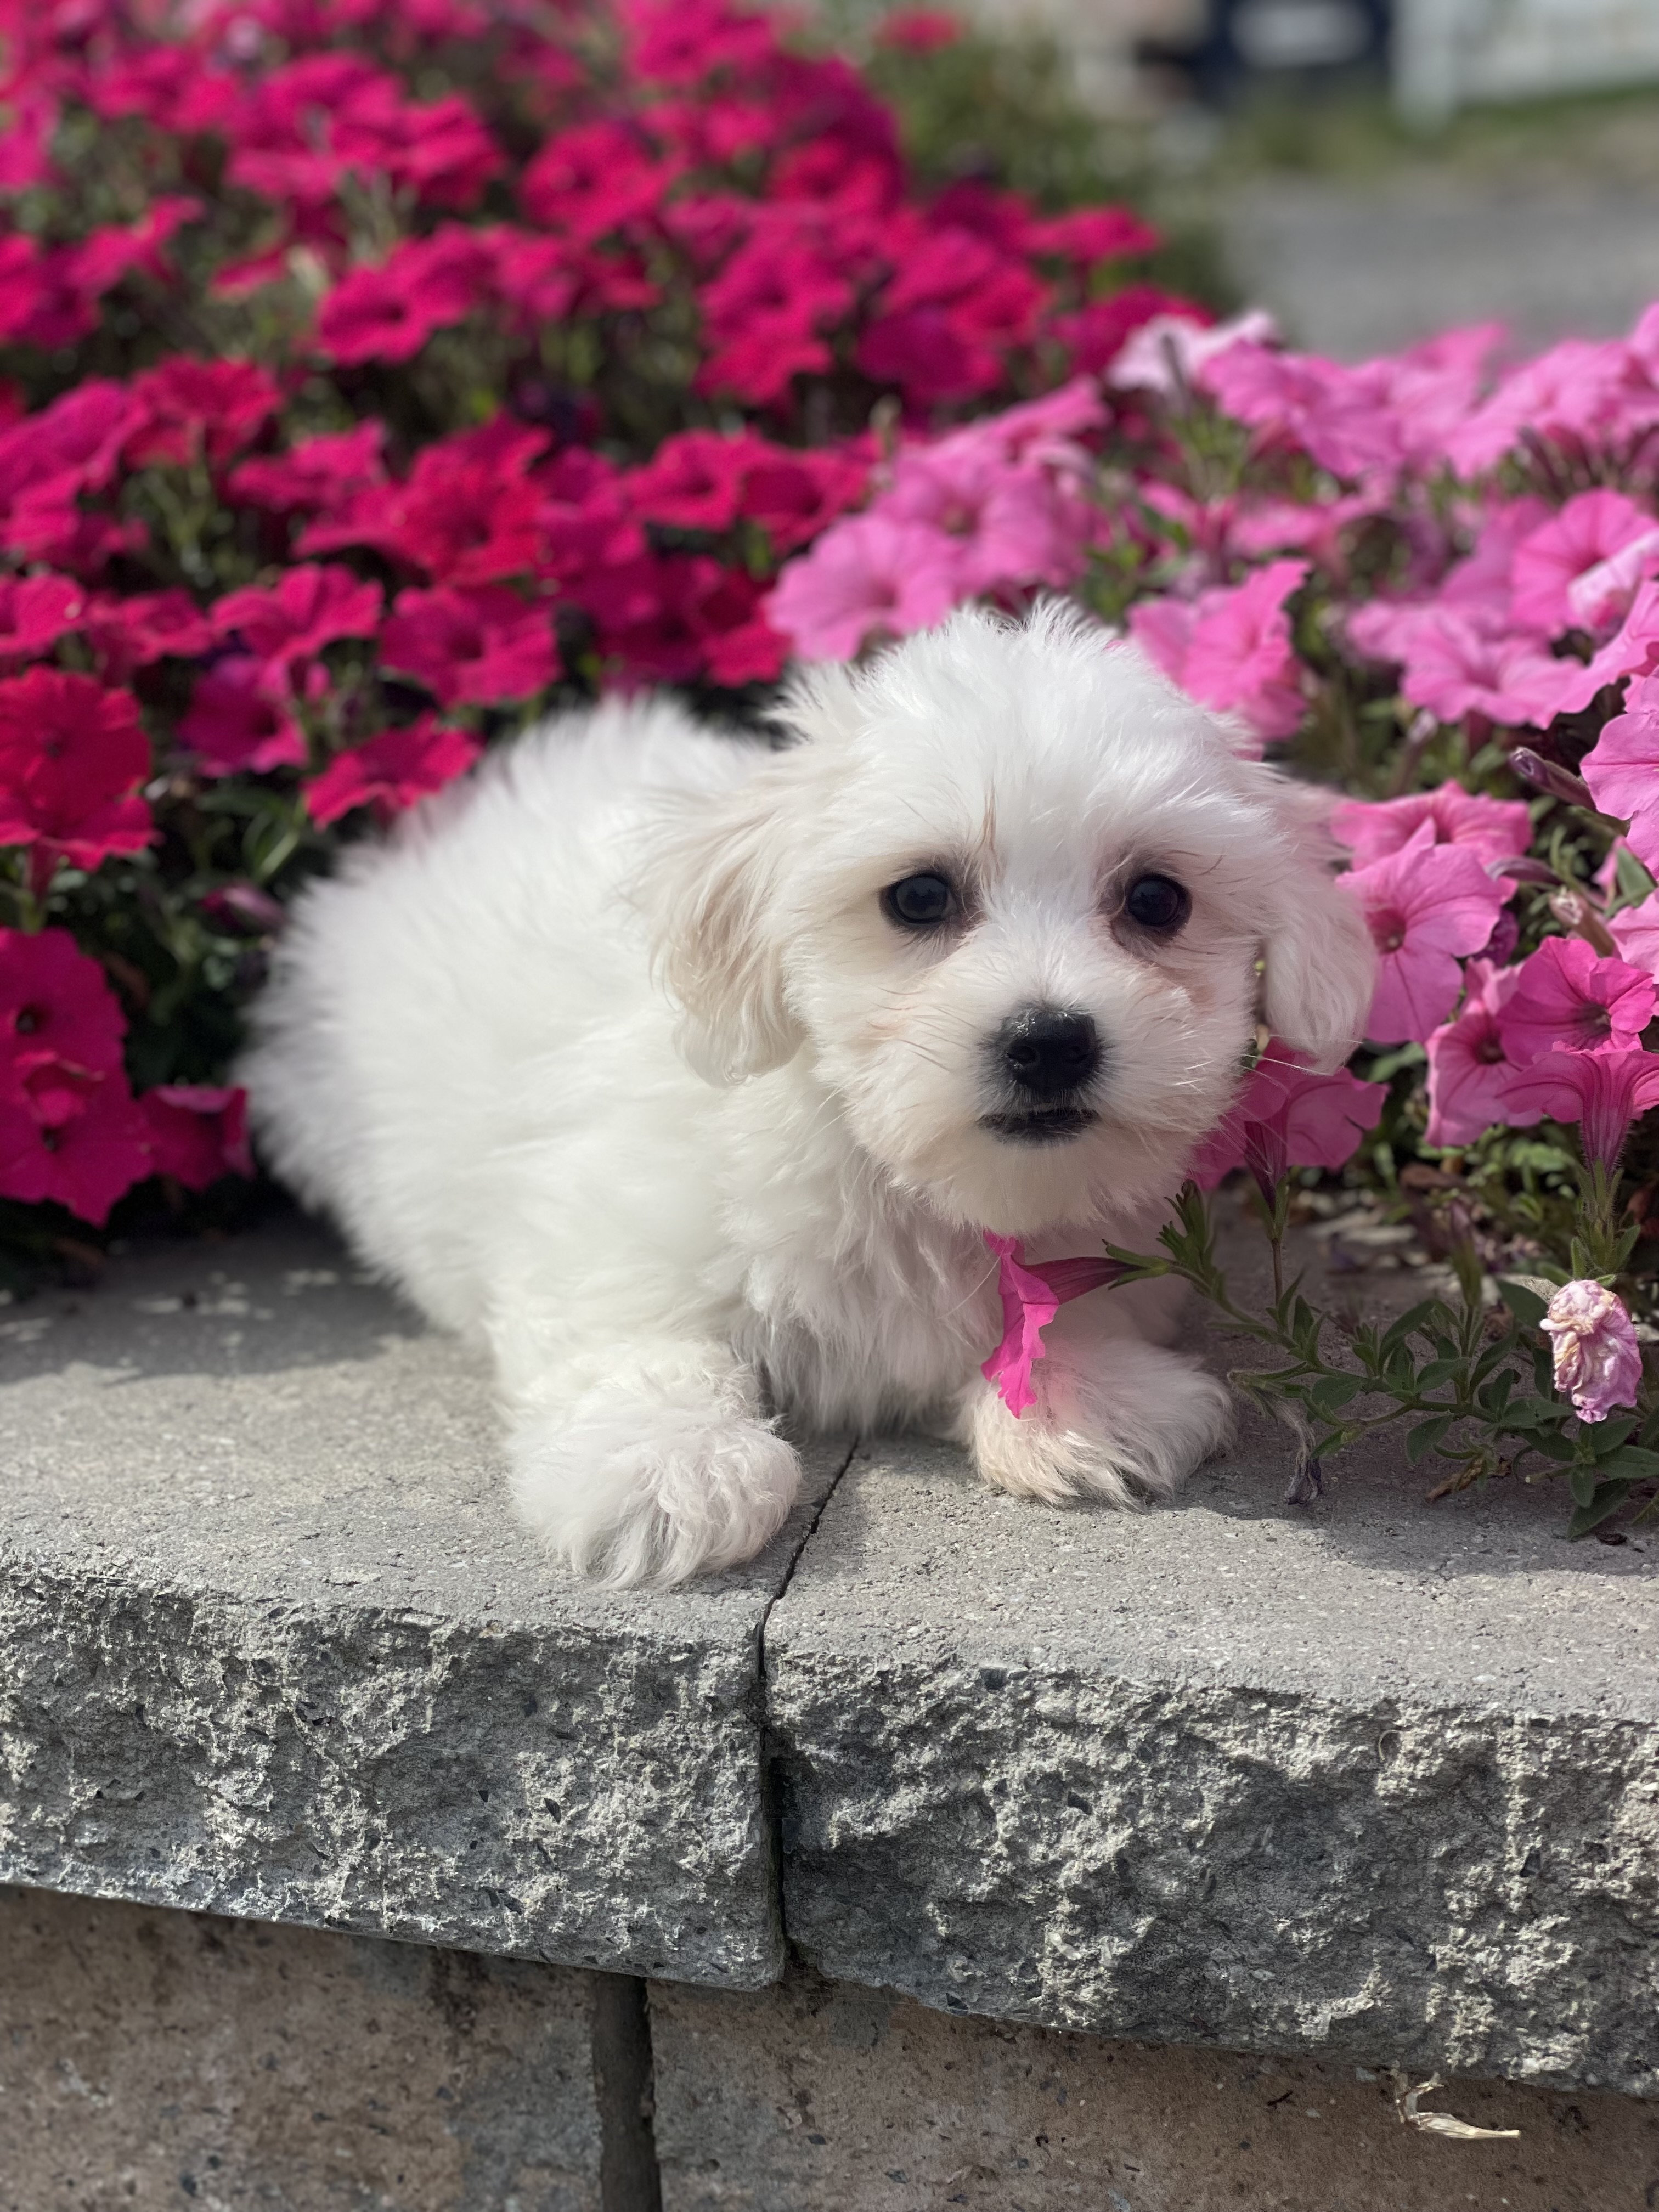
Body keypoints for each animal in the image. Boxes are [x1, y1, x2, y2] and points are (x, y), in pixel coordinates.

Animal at [240, 597, 1371, 1583]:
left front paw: (1084, 1393)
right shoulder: (608, 1231)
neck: (892, 1166)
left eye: (1154, 900)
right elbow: (632, 1341)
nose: (1048, 1042)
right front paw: (667, 1467)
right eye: (918, 896)